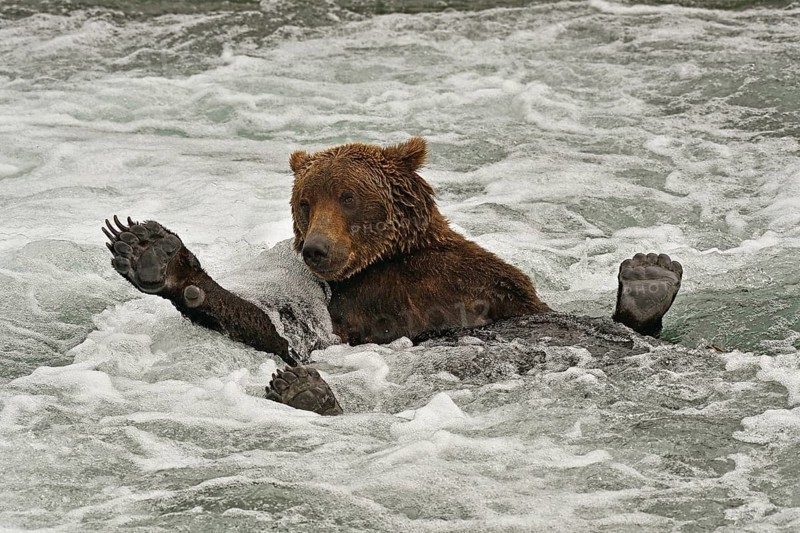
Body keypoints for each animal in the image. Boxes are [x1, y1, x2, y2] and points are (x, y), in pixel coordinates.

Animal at [103, 137, 683, 416]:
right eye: (305, 201)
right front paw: (152, 255)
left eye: (347, 195)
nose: (315, 249)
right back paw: (306, 392)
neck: (384, 261)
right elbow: (291, 334)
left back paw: (649, 279)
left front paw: (152, 252)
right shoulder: (341, 304)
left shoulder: (489, 283)